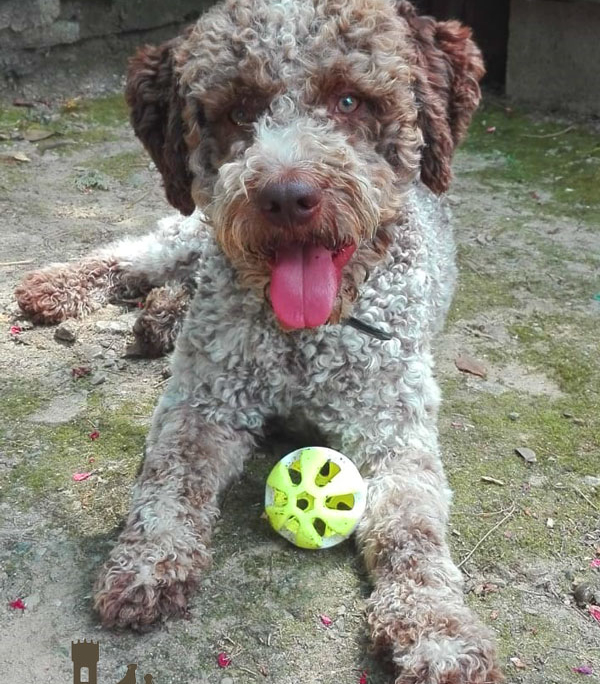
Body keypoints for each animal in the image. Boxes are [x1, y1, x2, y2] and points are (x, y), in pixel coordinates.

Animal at [15, 2, 502, 680]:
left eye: (349, 100)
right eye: (240, 110)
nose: (288, 197)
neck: (304, 336)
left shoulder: (393, 433)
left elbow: (413, 532)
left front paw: (437, 627)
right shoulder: (201, 405)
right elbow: (169, 482)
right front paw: (149, 561)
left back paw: (160, 318)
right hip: (193, 233)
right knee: (133, 258)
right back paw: (56, 288)